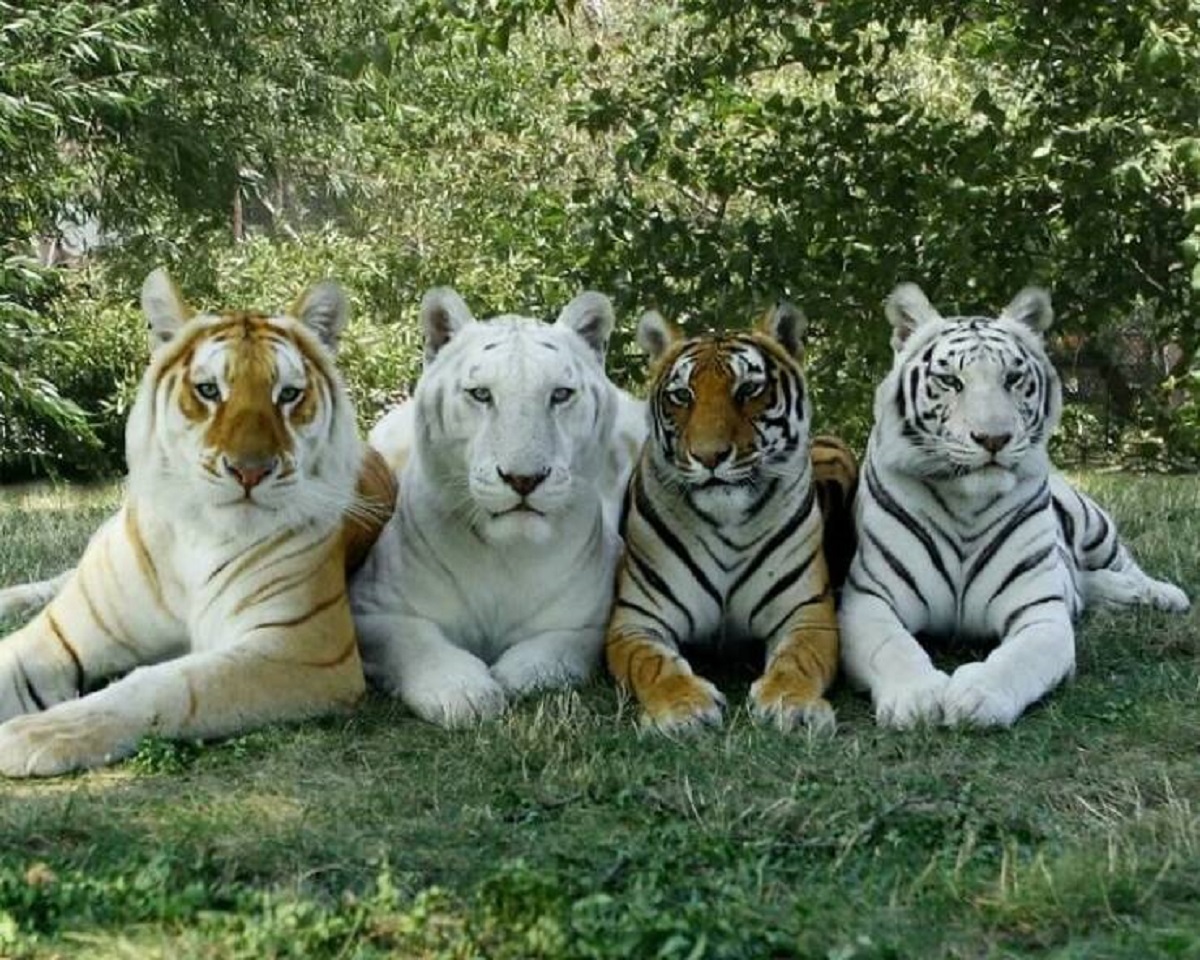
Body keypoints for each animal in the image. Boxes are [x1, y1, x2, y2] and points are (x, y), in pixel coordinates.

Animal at [0, 266, 398, 777]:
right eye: (209, 390)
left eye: (288, 395)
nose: (250, 471)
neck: (198, 533)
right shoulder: (59, 635)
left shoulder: (306, 648)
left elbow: (166, 684)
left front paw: (38, 733)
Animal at [350, 285, 643, 729]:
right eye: (481, 394)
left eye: (560, 394)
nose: (524, 478)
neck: (505, 555)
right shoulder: (373, 610)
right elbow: (416, 642)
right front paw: (464, 693)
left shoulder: (591, 619)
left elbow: (559, 649)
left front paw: (514, 674)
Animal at [844, 283, 1190, 729]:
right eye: (950, 381)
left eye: (1012, 378)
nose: (993, 438)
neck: (965, 504)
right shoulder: (868, 599)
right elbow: (893, 647)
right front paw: (917, 697)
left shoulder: (1039, 612)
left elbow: (1017, 660)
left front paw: (977, 695)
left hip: (1092, 524)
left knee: (1122, 565)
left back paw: (1159, 593)